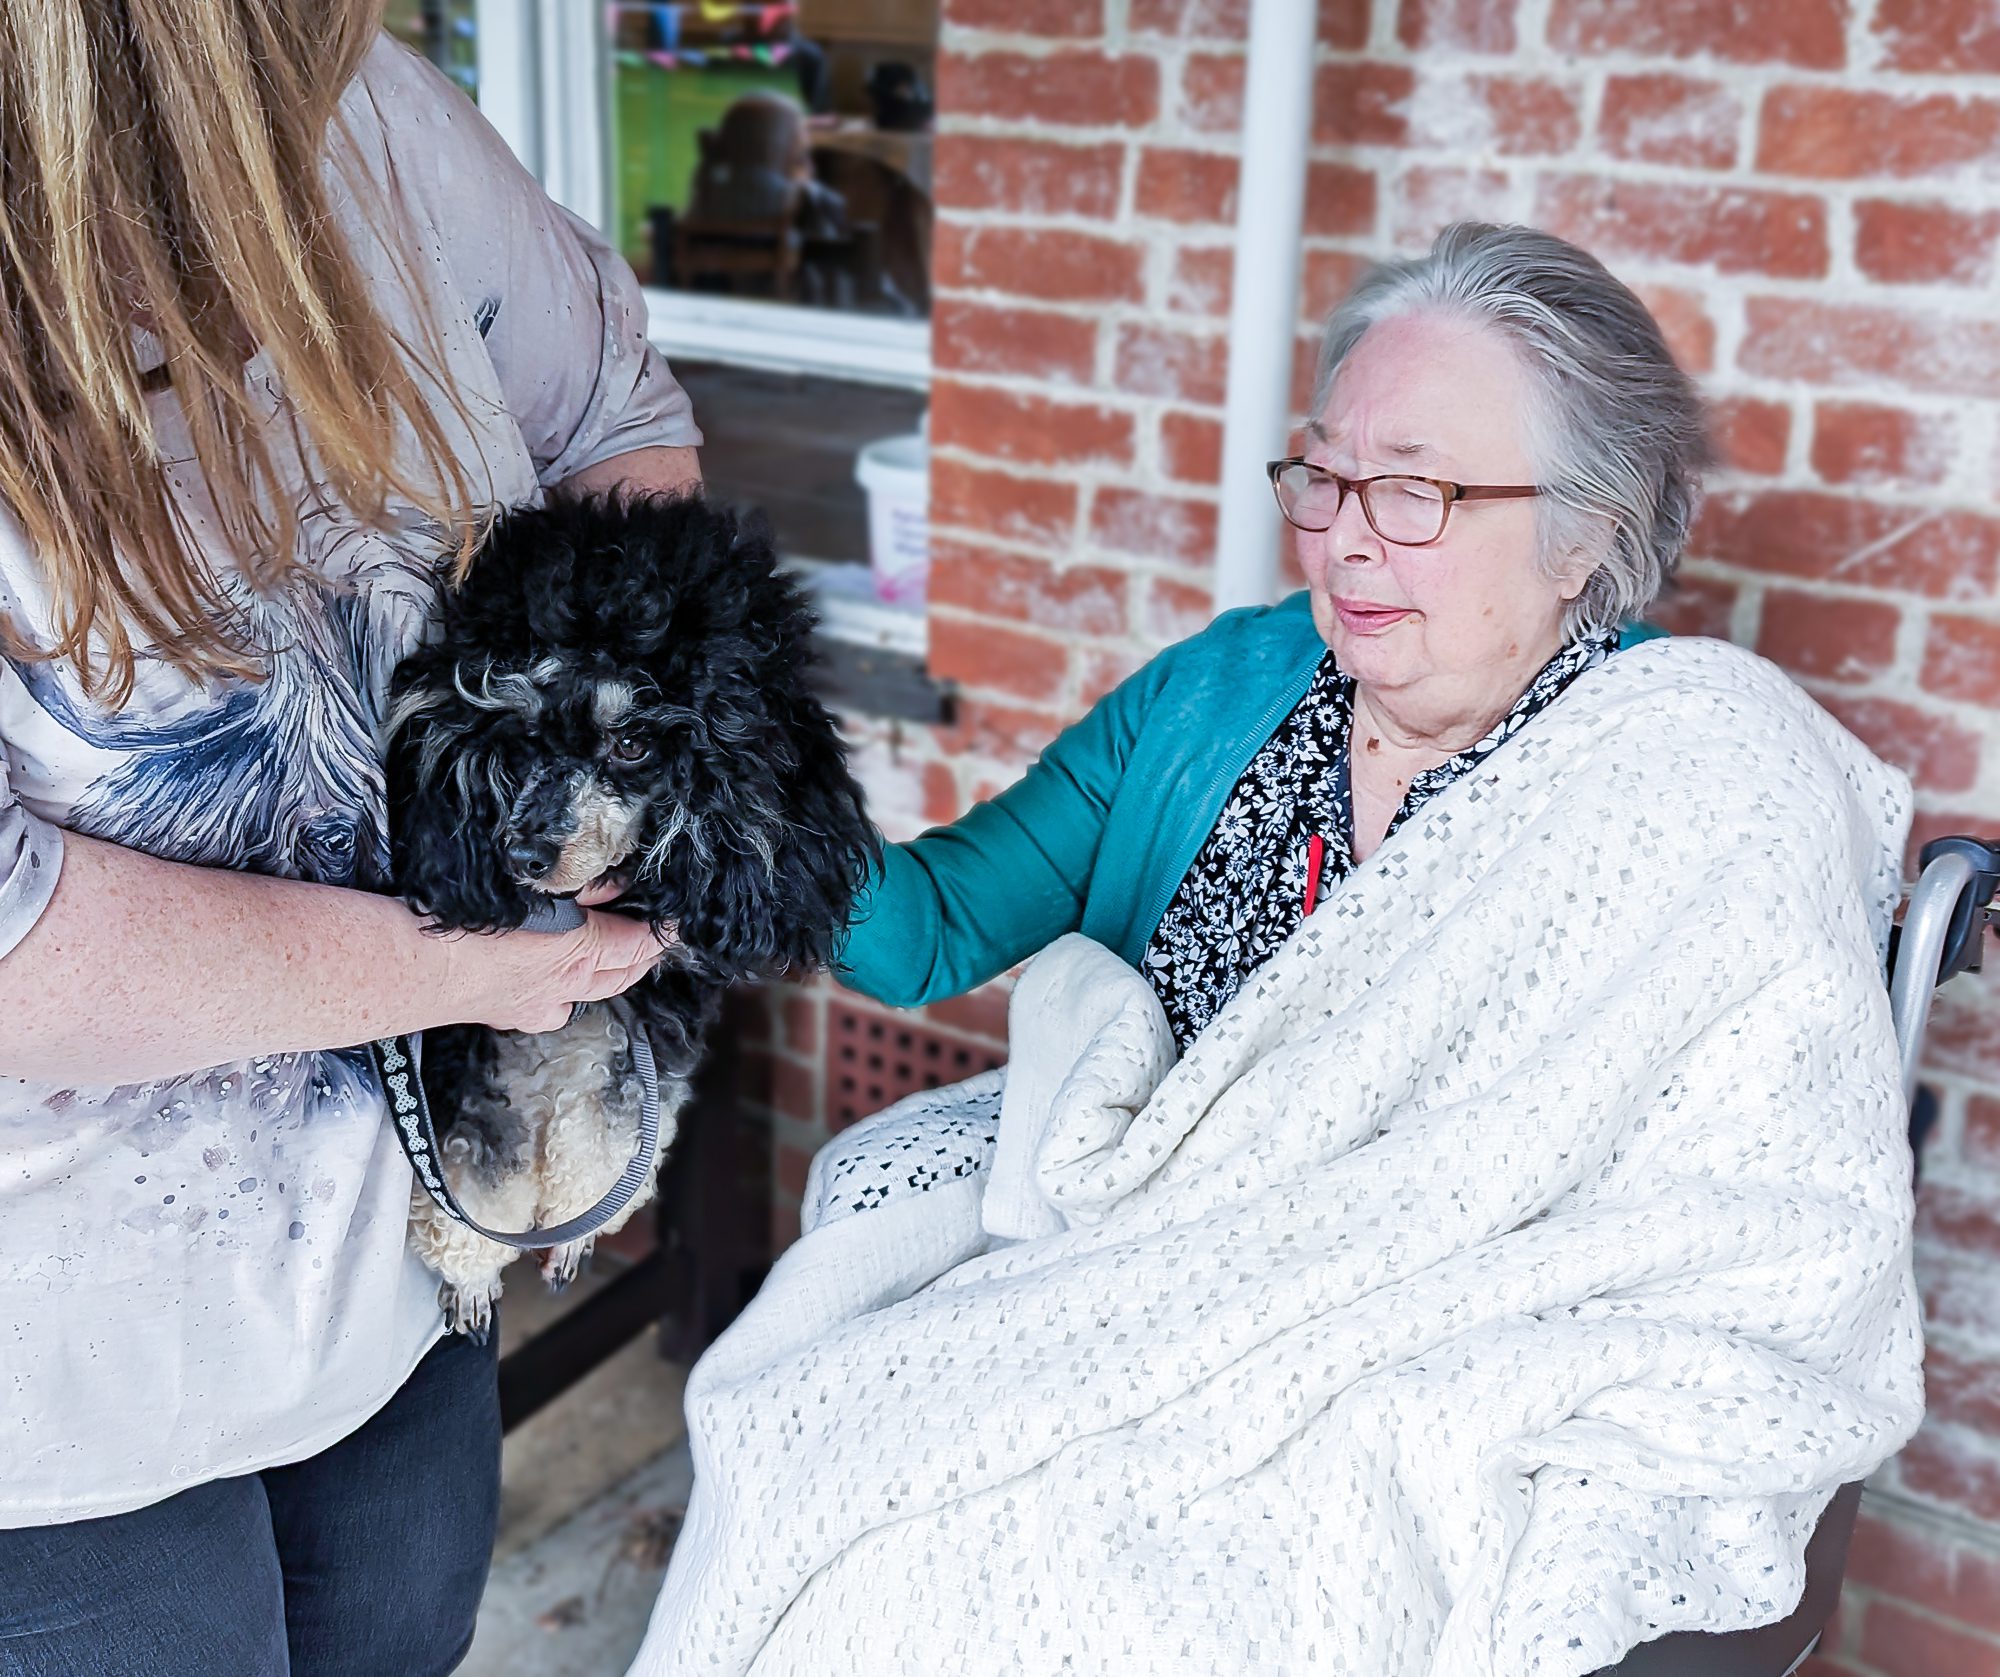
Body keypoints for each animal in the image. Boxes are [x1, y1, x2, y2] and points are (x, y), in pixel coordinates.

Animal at [380, 488, 876, 1336]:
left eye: (634, 744)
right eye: (520, 734)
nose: (523, 856)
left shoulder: (639, 1038)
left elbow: (605, 1146)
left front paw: (577, 1232)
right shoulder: (462, 1054)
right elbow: (472, 1181)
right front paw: (471, 1275)